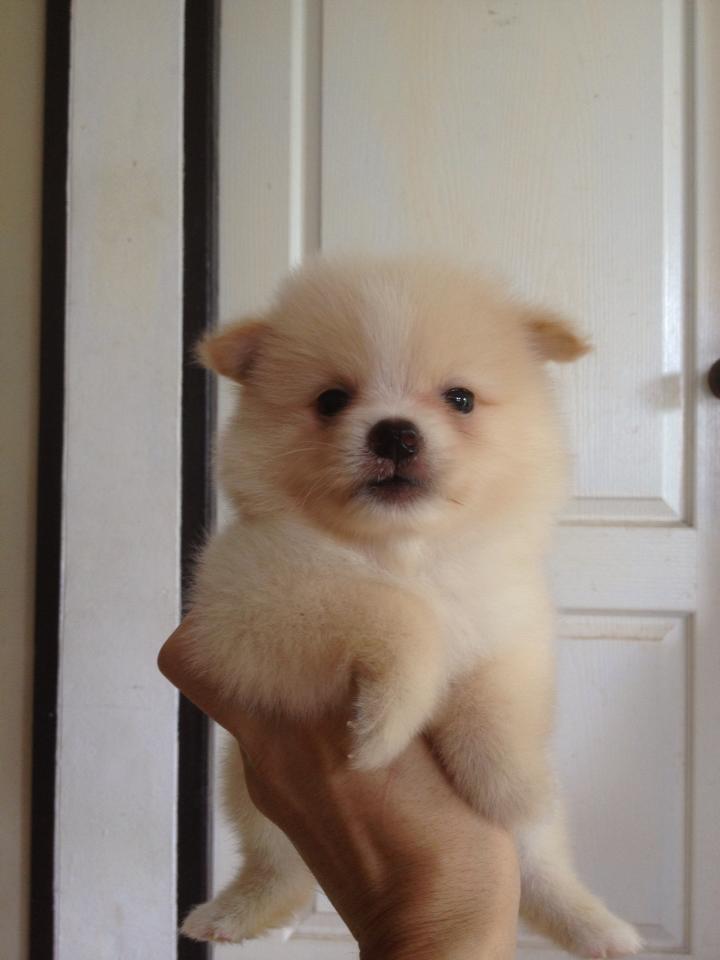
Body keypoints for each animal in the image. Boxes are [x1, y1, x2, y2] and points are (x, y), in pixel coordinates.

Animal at [180, 256, 642, 957]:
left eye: (461, 399)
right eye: (331, 400)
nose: (395, 432)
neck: (407, 552)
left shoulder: (509, 623)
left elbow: (495, 703)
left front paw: (510, 782)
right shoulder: (248, 606)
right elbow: (396, 613)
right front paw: (383, 726)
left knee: (542, 869)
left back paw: (597, 927)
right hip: (248, 792)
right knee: (275, 867)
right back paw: (235, 913)